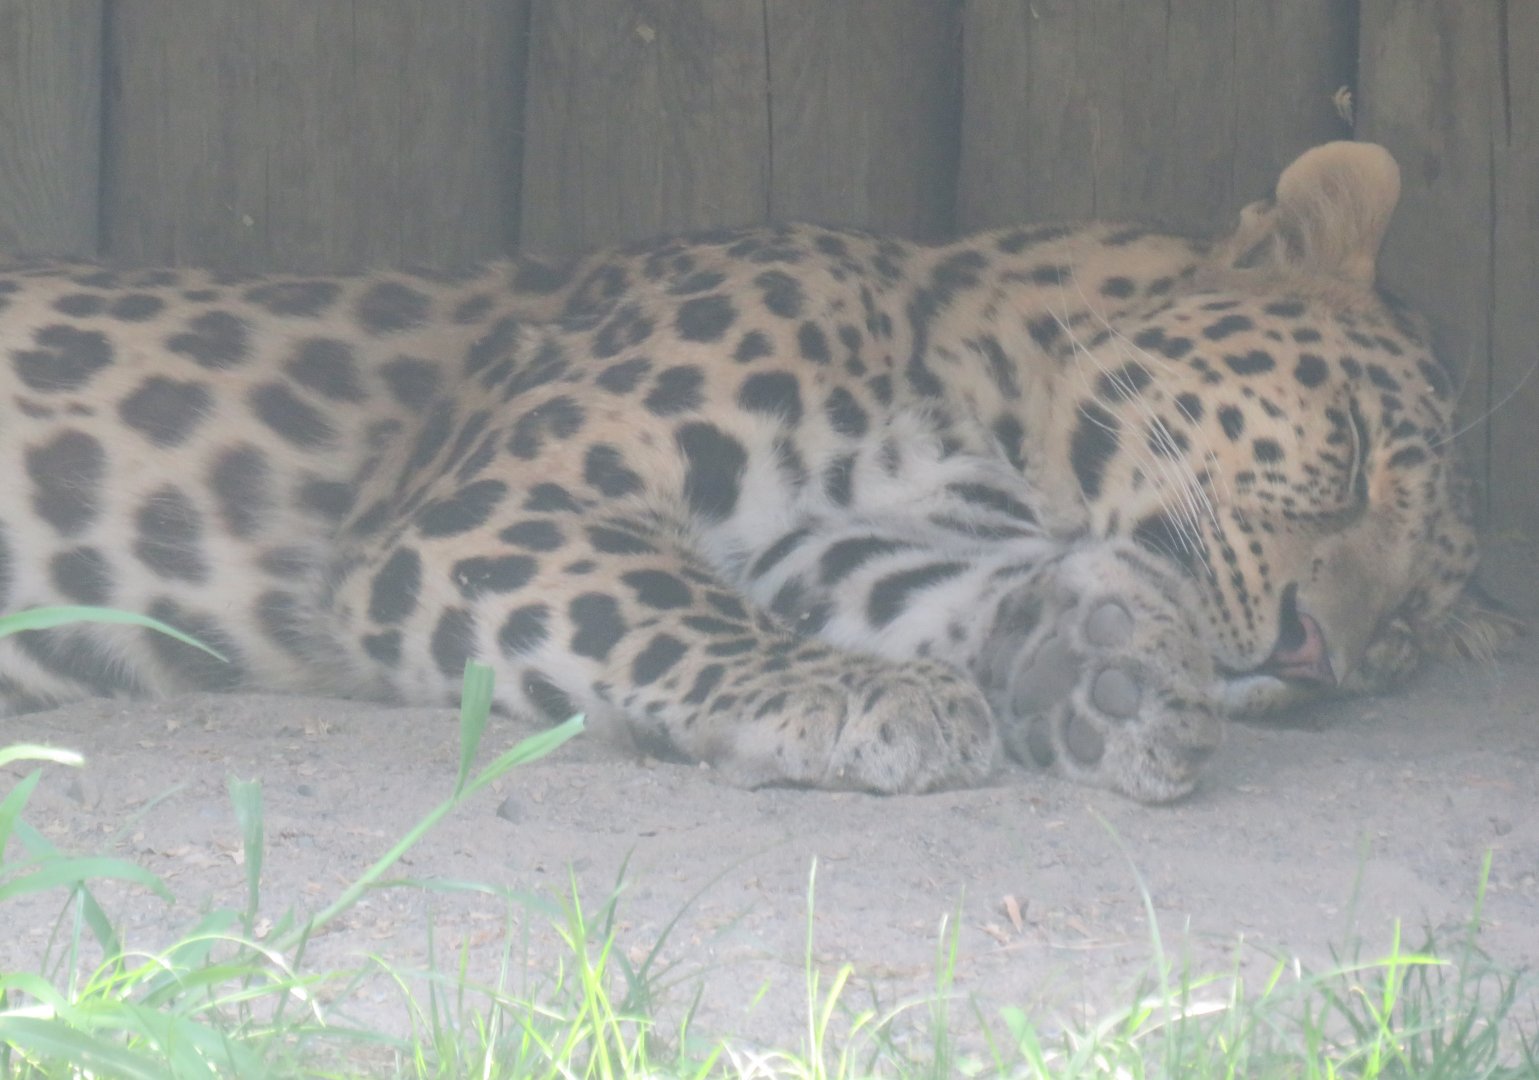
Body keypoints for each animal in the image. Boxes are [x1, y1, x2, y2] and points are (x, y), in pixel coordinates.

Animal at [0, 141, 1504, 802]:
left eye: (1408, 634)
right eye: (1349, 447)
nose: (1319, 654)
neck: (965, 398)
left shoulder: (823, 536)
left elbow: (908, 587)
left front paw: (1096, 667)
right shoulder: (499, 501)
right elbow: (662, 605)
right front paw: (860, 700)